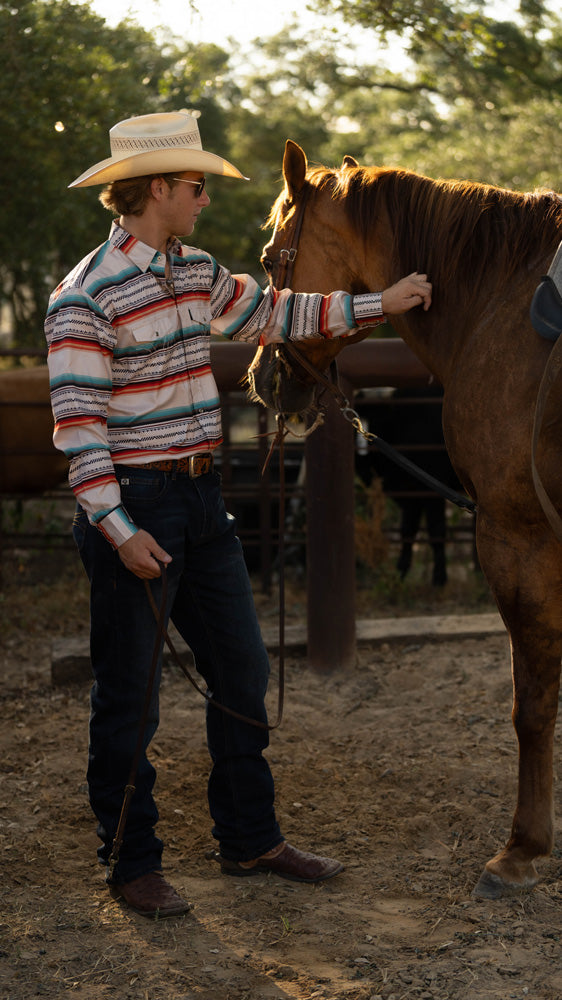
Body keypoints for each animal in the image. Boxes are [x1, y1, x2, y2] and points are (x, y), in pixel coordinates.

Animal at [246, 141, 562, 900]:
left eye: (271, 260)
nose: (263, 378)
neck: (506, 303)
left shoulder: (517, 538)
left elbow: (532, 703)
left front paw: (521, 850)